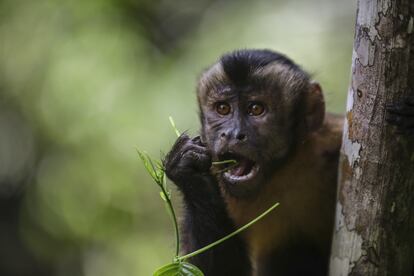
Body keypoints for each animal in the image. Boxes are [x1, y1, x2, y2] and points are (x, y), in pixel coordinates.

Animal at [164, 50, 342, 276]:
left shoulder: (332, 146)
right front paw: (191, 174)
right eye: (223, 108)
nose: (232, 133)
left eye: (256, 109)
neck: (280, 173)